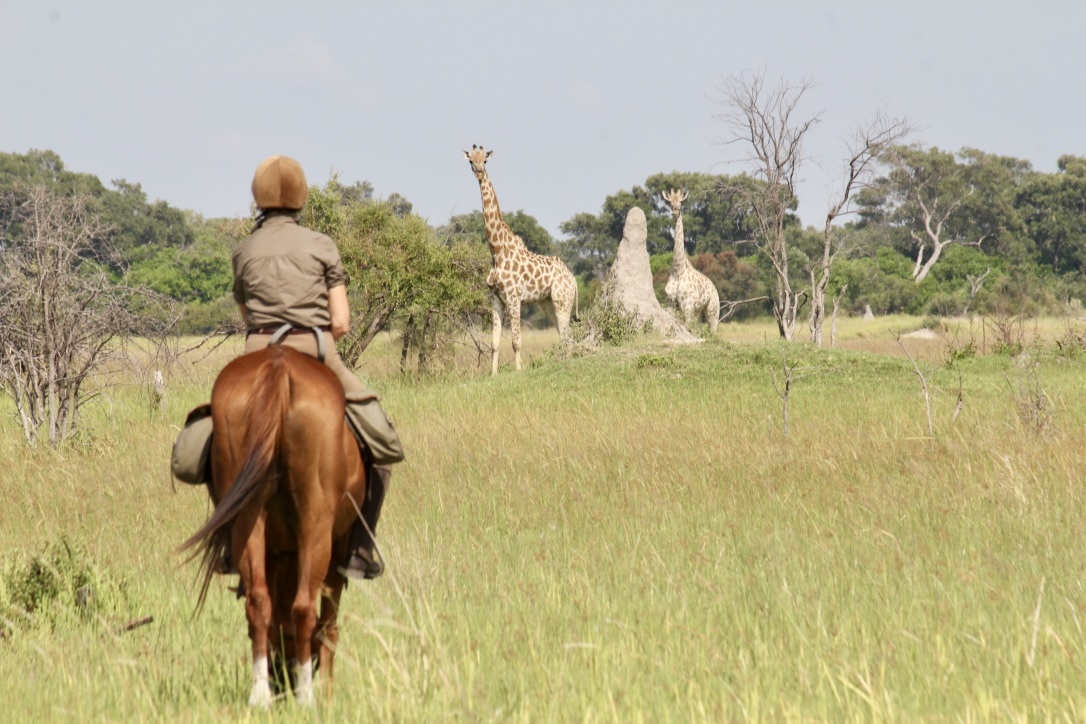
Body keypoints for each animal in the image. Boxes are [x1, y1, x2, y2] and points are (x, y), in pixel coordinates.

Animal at [178, 345, 364, 707]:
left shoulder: (275, 552)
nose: (283, 682)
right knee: (304, 608)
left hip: (247, 519)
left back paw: (260, 694)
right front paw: (327, 691)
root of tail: (278, 365)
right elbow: (328, 625)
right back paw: (306, 697)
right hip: (316, 526)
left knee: (258, 603)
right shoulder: (338, 549)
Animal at [464, 145, 582, 377]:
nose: (479, 173)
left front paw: (518, 371)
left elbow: (516, 341)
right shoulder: (496, 298)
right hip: (548, 303)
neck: (497, 250)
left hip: (562, 301)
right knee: (564, 336)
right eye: (471, 161)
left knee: (567, 336)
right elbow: (494, 343)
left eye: (486, 160)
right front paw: (493, 375)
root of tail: (573, 279)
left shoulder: (514, 297)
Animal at [660, 186, 721, 334]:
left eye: (681, 202)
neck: (678, 271)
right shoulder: (670, 304)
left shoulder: (687, 307)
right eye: (669, 202)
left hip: (712, 310)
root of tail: (714, 287)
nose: (675, 210)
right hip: (698, 312)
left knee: (713, 331)